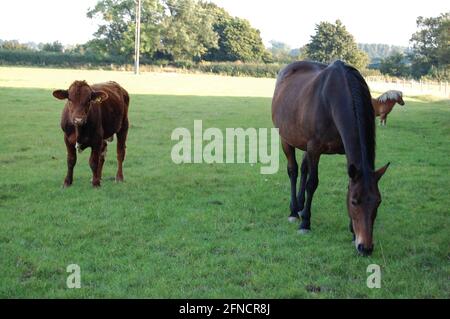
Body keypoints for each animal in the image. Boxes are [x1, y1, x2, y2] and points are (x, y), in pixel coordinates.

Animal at [270, 61, 390, 258]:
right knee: (293, 170)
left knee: (303, 169)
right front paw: (305, 223)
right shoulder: (314, 148)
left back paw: (301, 206)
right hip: (286, 139)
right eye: (354, 202)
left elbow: (347, 183)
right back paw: (294, 211)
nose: (365, 247)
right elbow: (312, 183)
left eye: (378, 201)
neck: (332, 100)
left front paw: (352, 231)